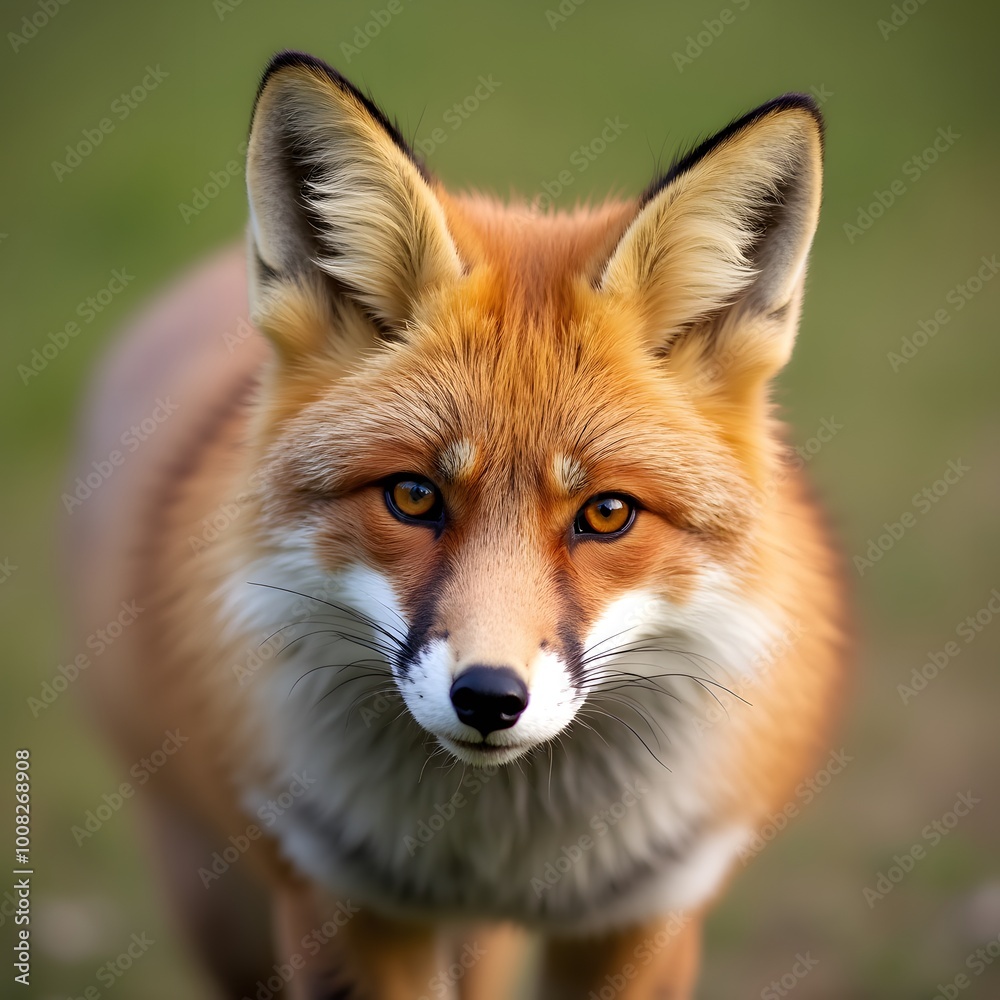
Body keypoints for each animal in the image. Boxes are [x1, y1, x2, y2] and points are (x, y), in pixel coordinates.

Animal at [66, 51, 849, 1000]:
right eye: (412, 497)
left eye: (607, 513)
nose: (488, 699)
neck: (495, 855)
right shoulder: (344, 905)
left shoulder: (644, 913)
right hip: (216, 902)